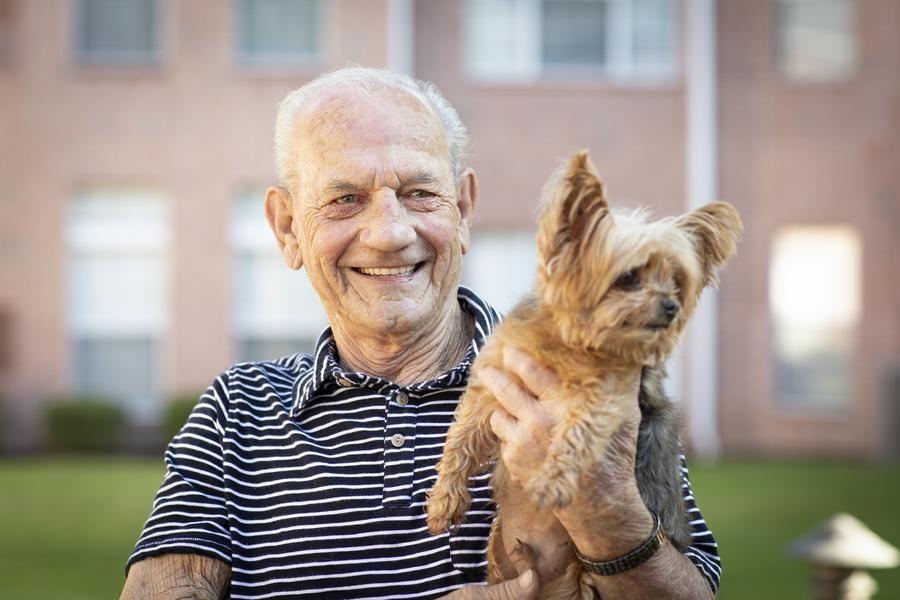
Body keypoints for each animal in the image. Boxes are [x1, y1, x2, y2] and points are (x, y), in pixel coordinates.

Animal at [426, 152, 740, 596]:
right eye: (629, 276)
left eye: (676, 281)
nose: (671, 307)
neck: (572, 343)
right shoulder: (494, 380)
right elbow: (462, 437)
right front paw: (444, 500)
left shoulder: (604, 398)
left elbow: (575, 436)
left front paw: (550, 482)